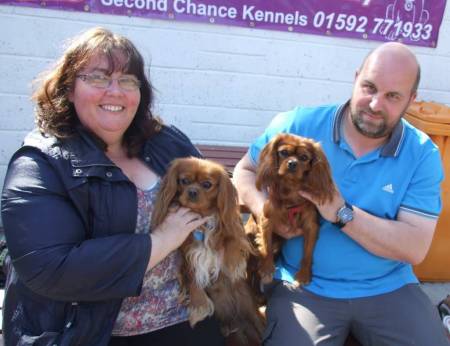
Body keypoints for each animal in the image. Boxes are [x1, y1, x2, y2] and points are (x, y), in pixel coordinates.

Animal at [151, 158, 264, 344]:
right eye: (184, 181)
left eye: (207, 184)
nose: (192, 191)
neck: (202, 219)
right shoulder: (188, 254)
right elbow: (193, 280)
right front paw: (199, 306)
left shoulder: (230, 230)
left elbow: (231, 240)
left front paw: (233, 264)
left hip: (249, 308)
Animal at [248, 132, 336, 286]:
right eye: (283, 152)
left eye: (304, 157)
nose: (292, 163)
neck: (291, 190)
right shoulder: (267, 221)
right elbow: (267, 246)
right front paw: (267, 269)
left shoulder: (311, 226)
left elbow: (308, 253)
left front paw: (304, 274)